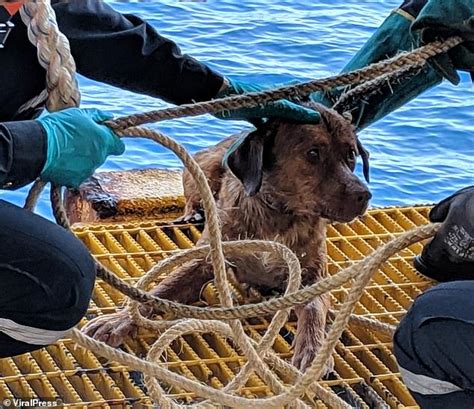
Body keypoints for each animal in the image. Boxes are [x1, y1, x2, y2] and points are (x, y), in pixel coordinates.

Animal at [82, 103, 370, 372]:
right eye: (313, 153)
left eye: (351, 154)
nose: (364, 195)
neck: (278, 214)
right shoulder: (205, 260)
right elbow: (158, 291)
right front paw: (118, 321)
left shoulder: (313, 276)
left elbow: (312, 311)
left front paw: (314, 350)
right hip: (205, 166)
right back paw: (193, 213)